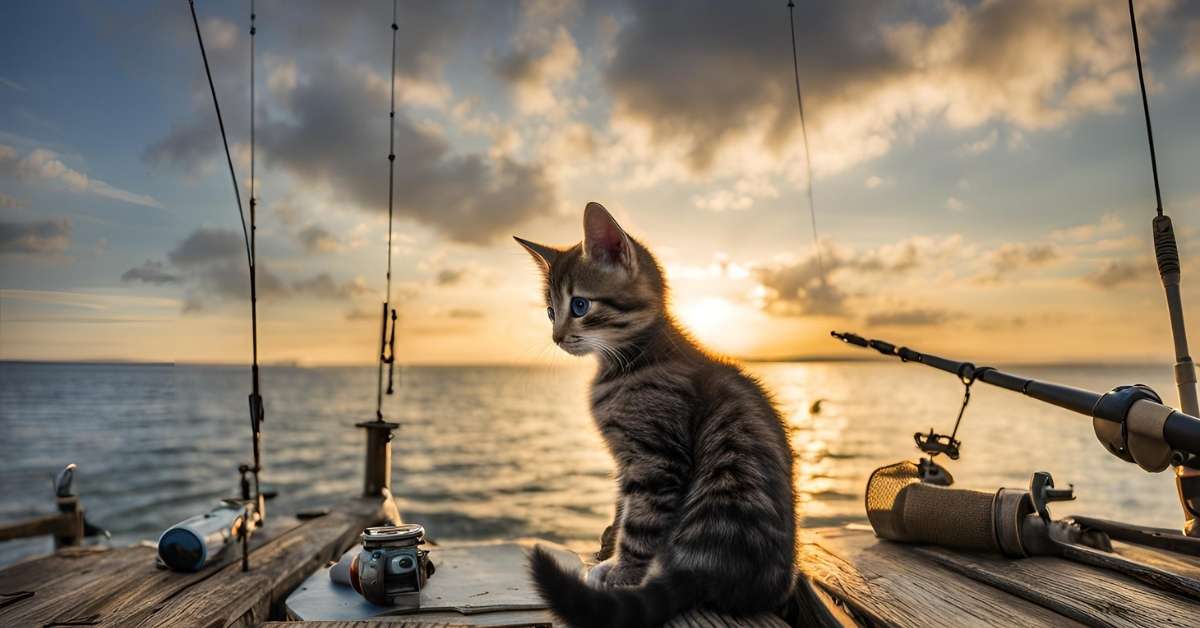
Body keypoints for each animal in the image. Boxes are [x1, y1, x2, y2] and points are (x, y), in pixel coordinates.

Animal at [516, 204, 796, 624]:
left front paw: (622, 572)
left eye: (579, 305)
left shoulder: (656, 460)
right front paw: (610, 556)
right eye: (550, 312)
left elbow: (639, 524)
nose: (557, 337)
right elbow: (621, 510)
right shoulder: (627, 463)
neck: (631, 361)